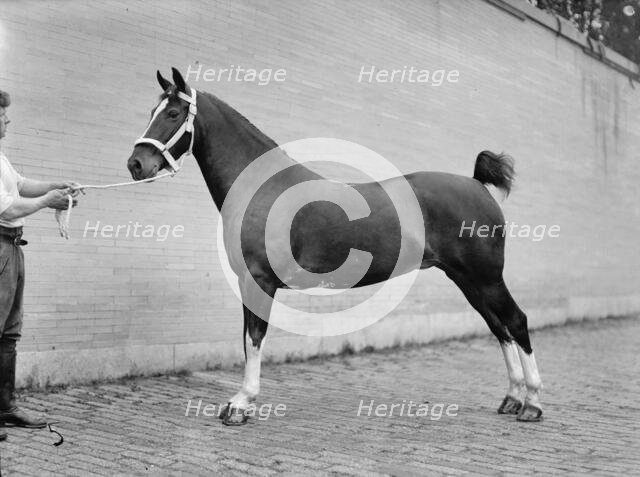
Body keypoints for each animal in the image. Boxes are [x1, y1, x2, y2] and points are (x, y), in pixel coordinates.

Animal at [127, 67, 543, 426]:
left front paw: (241, 404)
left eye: (174, 113)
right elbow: (248, 340)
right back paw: (512, 398)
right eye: (152, 112)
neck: (263, 188)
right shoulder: (250, 283)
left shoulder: (259, 281)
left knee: (516, 321)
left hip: (486, 278)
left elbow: (255, 340)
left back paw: (533, 404)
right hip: (469, 281)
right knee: (499, 328)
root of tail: (477, 185)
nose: (136, 164)